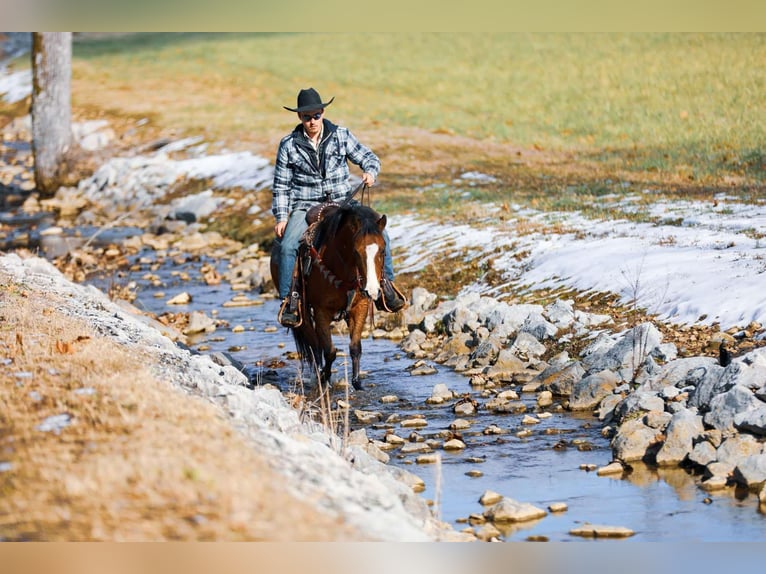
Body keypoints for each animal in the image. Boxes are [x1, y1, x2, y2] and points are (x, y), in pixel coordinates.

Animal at [270, 203, 387, 390]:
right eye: (356, 251)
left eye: (383, 251)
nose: (372, 290)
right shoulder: (321, 311)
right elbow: (329, 351)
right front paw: (325, 378)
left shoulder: (360, 308)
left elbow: (355, 347)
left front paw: (357, 383)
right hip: (303, 314)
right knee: (314, 346)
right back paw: (318, 375)